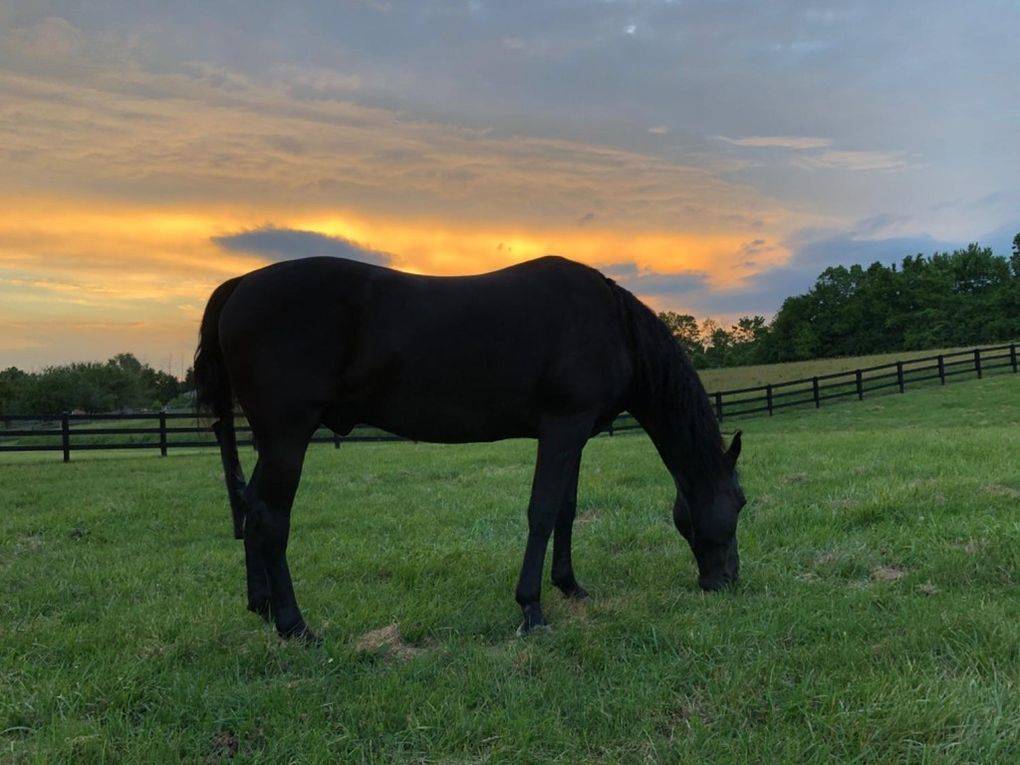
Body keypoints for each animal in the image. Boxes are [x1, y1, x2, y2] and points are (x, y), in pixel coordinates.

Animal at [194, 255, 745, 642]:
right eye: (740, 503)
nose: (727, 582)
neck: (613, 326)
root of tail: (240, 284)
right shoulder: (562, 428)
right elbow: (542, 512)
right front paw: (531, 609)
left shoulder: (574, 434)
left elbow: (565, 511)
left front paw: (571, 587)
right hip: (288, 437)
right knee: (271, 518)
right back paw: (295, 626)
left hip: (272, 440)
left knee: (251, 509)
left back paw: (262, 606)